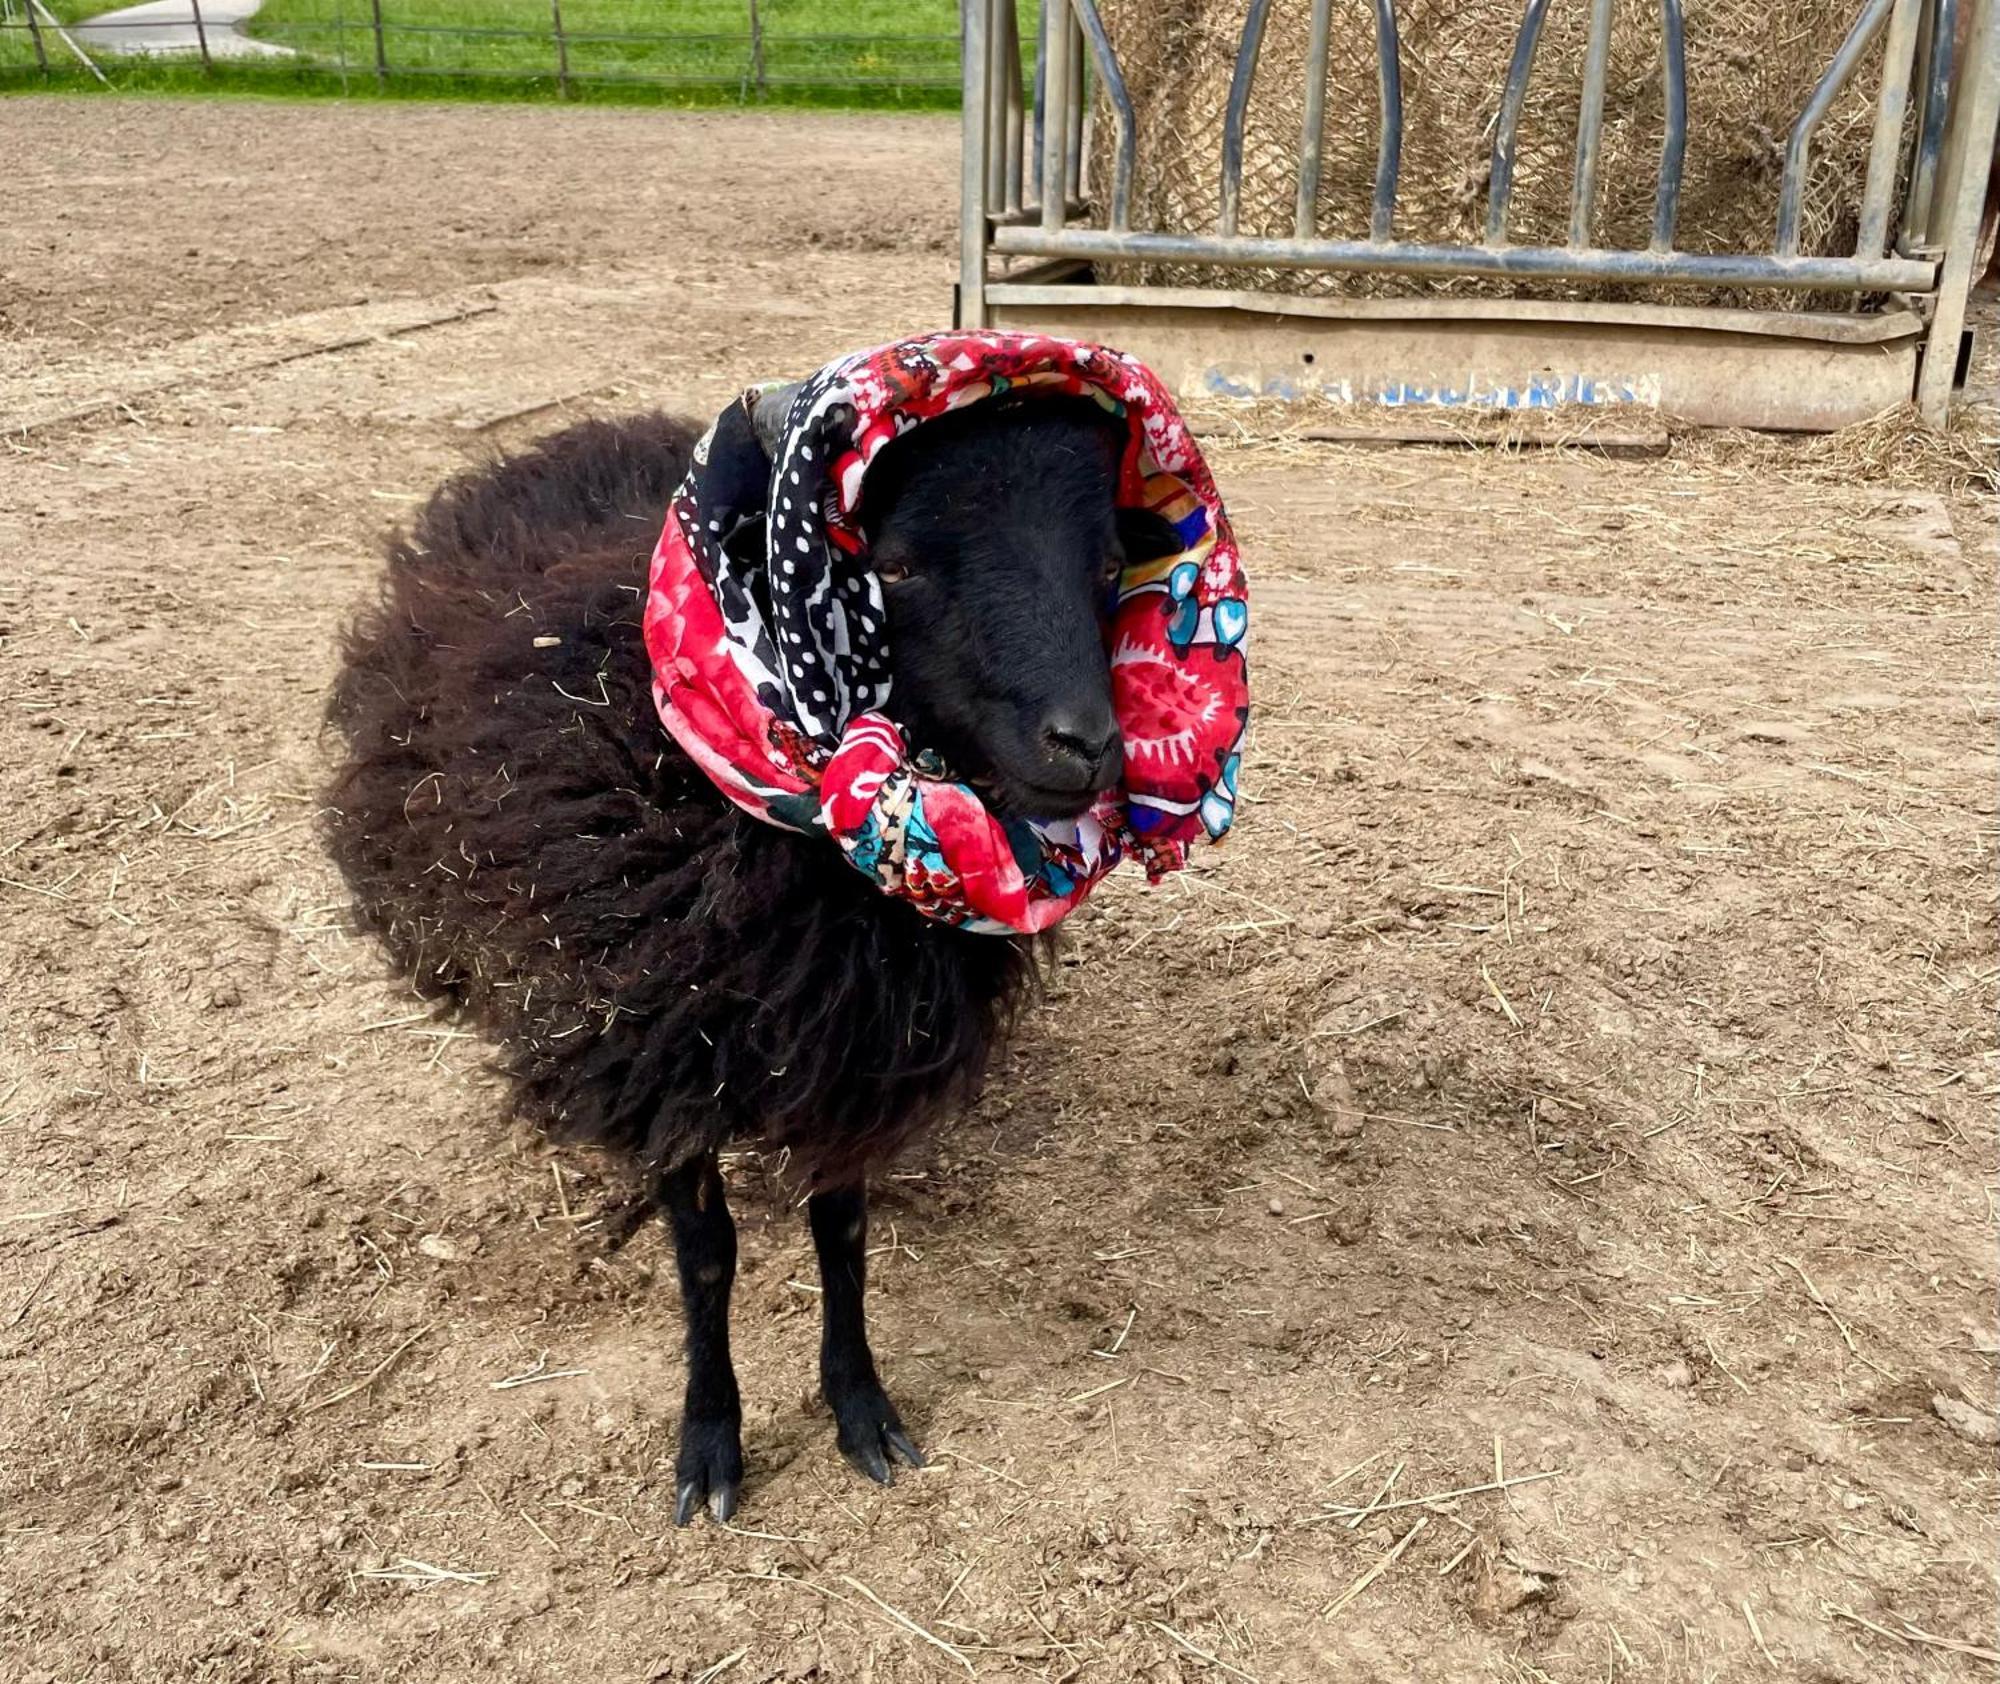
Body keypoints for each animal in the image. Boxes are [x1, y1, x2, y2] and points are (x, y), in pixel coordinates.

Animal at [326, 398, 1184, 1520]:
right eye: (895, 566)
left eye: (1108, 562)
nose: (1087, 747)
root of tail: (584, 431)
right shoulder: (662, 1042)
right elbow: (707, 1257)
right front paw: (709, 1442)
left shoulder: (851, 1050)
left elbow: (842, 1233)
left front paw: (860, 1408)